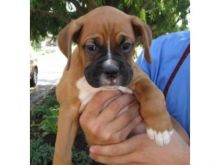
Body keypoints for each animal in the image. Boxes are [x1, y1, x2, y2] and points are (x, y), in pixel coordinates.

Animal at [53, 5, 174, 164]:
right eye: (91, 47)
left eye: (126, 46)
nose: (111, 71)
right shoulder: (68, 110)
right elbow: (62, 149)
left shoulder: (138, 77)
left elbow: (153, 93)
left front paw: (160, 129)